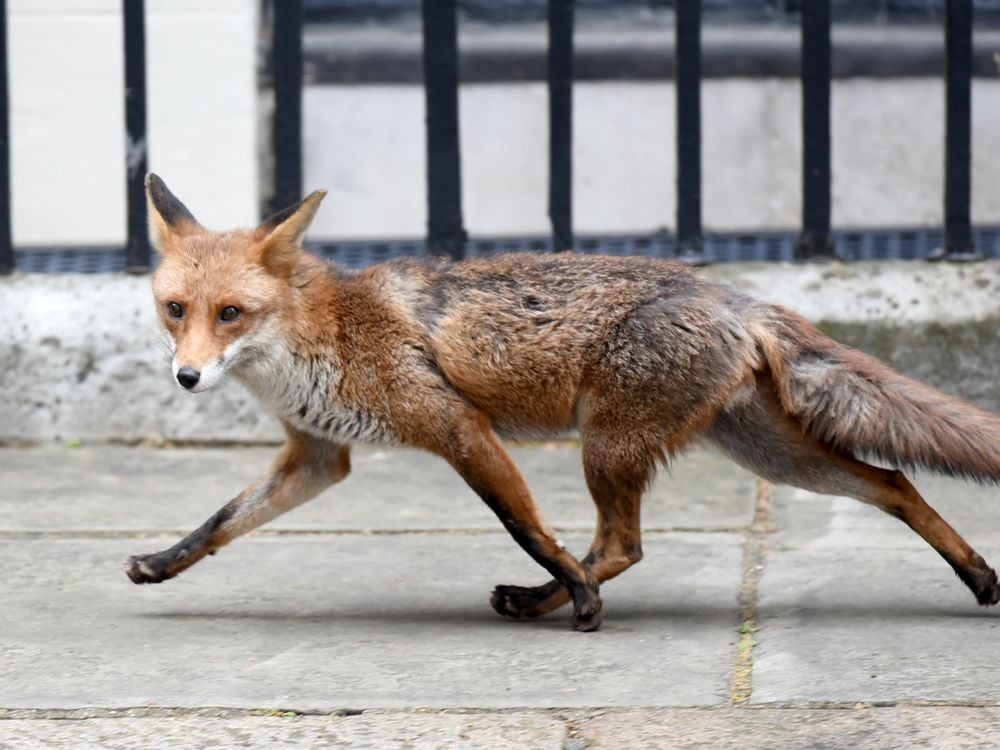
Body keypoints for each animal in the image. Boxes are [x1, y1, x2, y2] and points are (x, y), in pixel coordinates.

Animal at [125, 175, 1000, 636]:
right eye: (176, 310)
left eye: (230, 314)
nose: (187, 378)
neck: (324, 334)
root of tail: (733, 295)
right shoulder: (317, 455)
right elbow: (222, 521)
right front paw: (161, 565)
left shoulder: (458, 427)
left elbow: (526, 525)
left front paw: (575, 595)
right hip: (766, 454)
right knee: (893, 483)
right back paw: (979, 577)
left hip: (609, 446)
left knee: (621, 546)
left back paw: (558, 597)